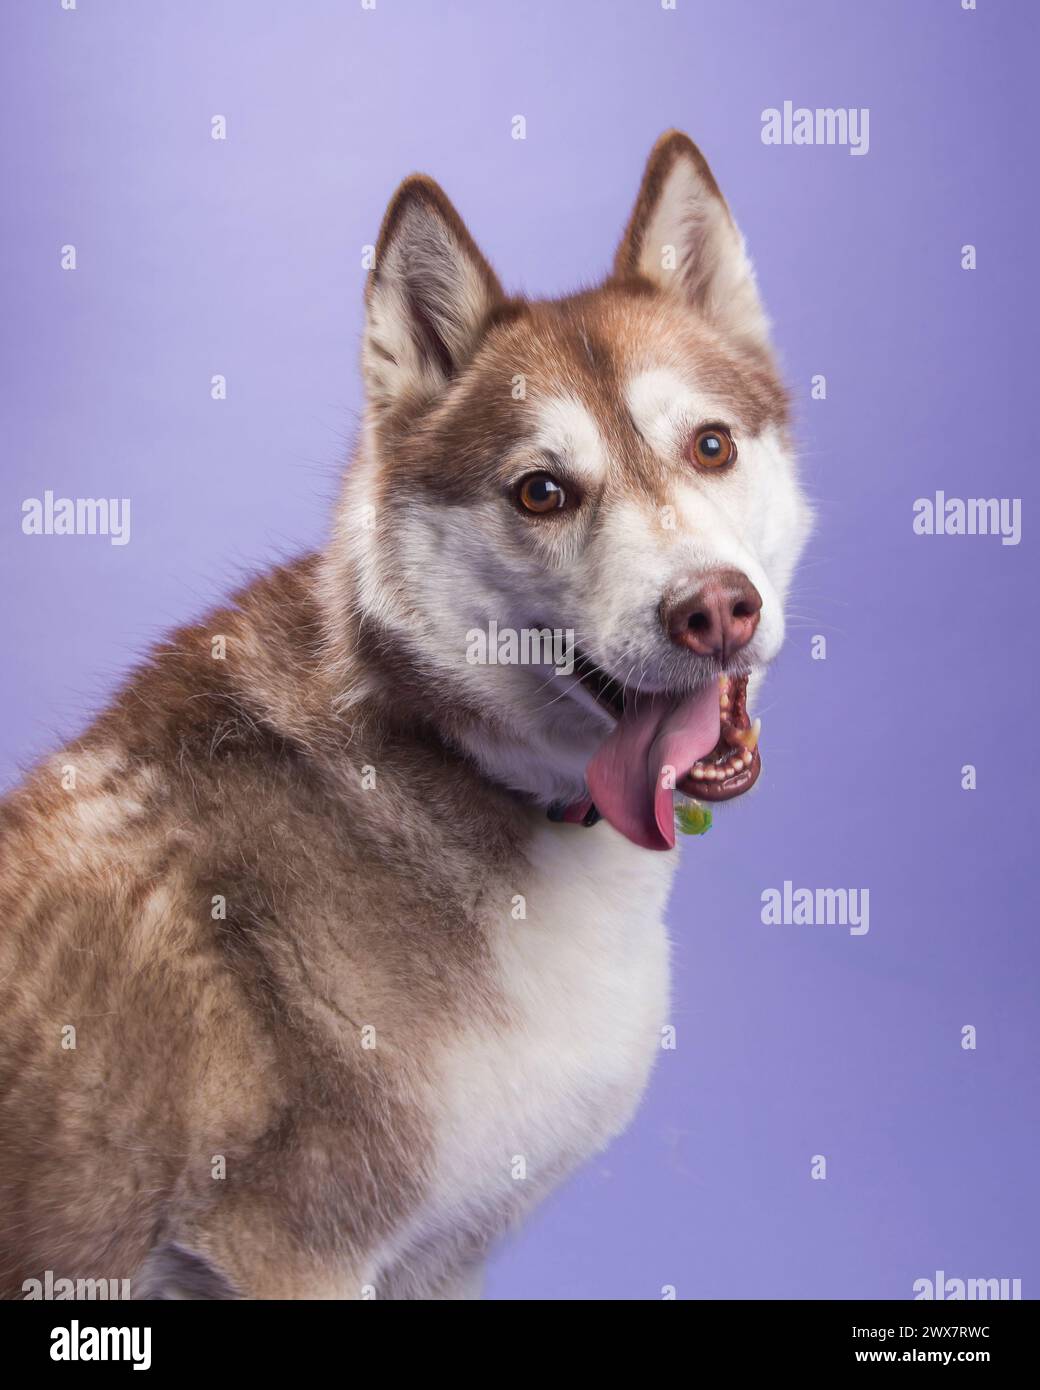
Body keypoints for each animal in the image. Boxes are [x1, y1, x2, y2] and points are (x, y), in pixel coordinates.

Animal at [0, 135, 811, 1295]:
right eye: (541, 492)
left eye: (710, 445)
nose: (711, 610)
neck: (463, 766)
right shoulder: (297, 1248)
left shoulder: (442, 1256)